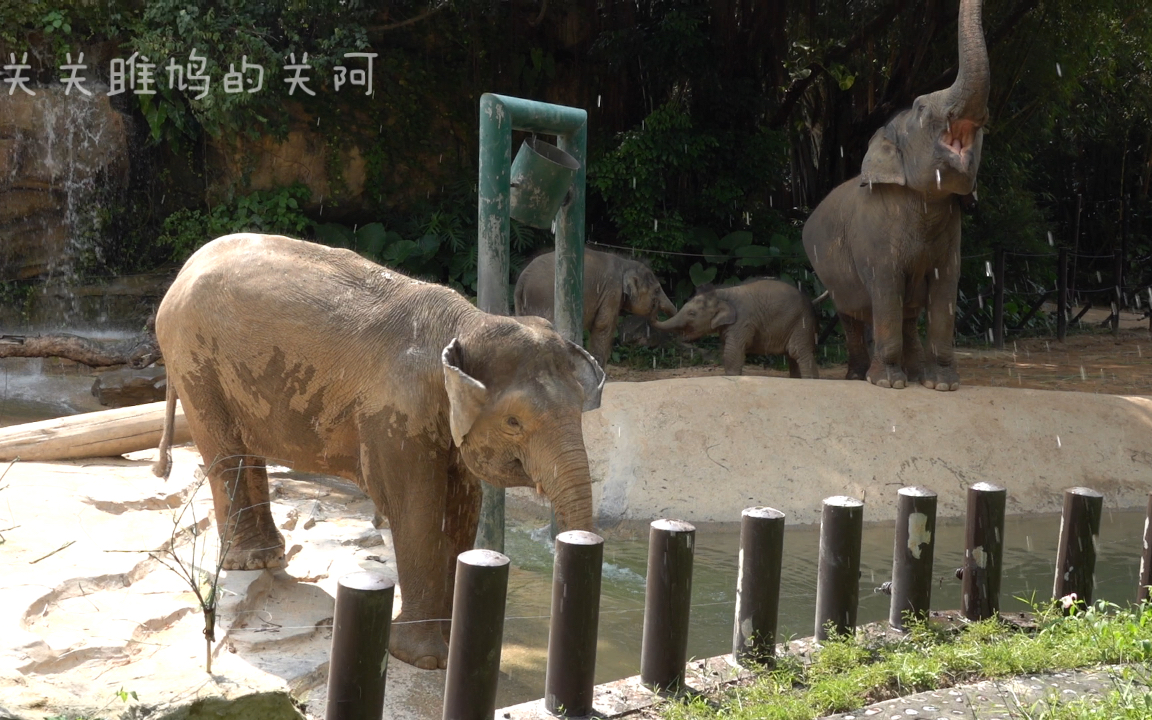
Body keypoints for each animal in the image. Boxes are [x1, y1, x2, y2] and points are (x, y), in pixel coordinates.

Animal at [148, 232, 608, 672]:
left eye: (580, 407)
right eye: (514, 423)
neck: (467, 322)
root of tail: (184, 268)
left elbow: (464, 505)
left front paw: (450, 644)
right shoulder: (393, 416)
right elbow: (416, 506)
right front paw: (424, 659)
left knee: (247, 449)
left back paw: (266, 557)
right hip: (193, 361)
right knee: (224, 452)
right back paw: (248, 562)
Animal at [513, 248, 672, 370]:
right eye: (657, 290)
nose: (656, 309)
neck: (625, 263)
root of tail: (521, 281)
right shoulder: (612, 290)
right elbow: (603, 325)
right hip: (544, 300)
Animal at [654, 276, 824, 380]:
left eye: (692, 313)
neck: (722, 293)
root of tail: (811, 303)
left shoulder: (742, 321)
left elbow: (732, 350)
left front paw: (732, 376)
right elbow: (727, 349)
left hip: (801, 323)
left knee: (798, 352)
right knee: (792, 356)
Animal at [801, 0, 990, 389]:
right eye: (920, 108)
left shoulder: (951, 239)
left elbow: (945, 290)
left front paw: (942, 385)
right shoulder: (876, 235)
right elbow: (886, 288)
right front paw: (888, 383)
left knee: (905, 314)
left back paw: (915, 373)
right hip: (829, 273)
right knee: (853, 313)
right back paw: (859, 376)